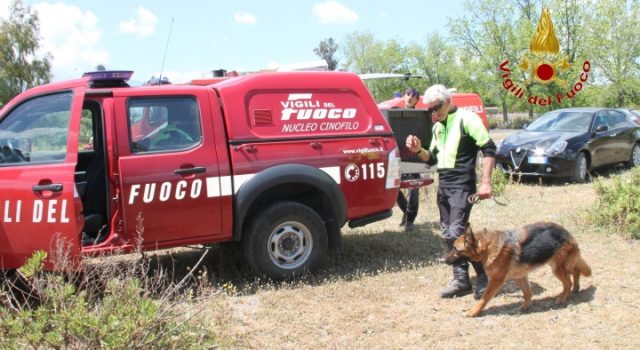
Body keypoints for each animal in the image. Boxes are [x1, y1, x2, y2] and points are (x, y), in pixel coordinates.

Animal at [444, 221, 592, 318]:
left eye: (456, 250)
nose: (444, 260)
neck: (487, 247)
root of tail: (567, 233)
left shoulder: (495, 281)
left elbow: (484, 298)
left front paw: (473, 311)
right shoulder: (520, 276)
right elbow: (527, 293)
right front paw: (526, 306)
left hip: (556, 268)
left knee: (568, 282)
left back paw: (562, 298)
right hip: (557, 265)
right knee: (575, 271)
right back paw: (576, 288)